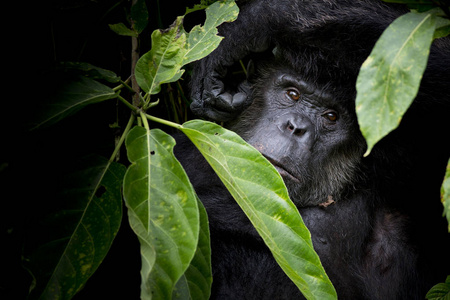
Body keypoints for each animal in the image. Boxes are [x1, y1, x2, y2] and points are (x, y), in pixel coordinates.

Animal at [174, 1, 450, 298]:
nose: (296, 127)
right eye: (292, 94)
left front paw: (249, 26)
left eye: (331, 116)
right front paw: (237, 35)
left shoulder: (406, 174)